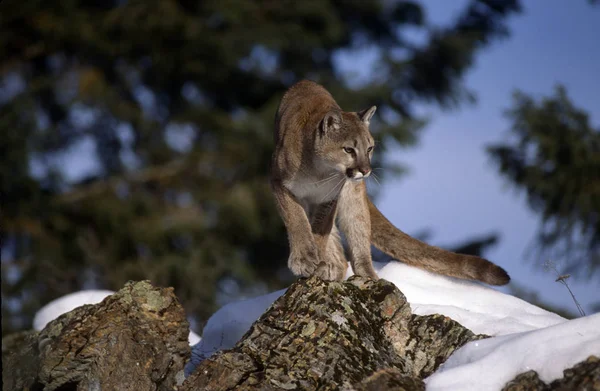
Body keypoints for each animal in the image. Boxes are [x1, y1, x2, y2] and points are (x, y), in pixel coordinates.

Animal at [272, 79, 510, 286]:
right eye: (349, 149)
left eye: (369, 148)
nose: (366, 170)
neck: (320, 171)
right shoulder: (280, 184)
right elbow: (298, 221)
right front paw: (305, 260)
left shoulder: (329, 198)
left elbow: (319, 231)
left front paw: (317, 261)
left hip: (354, 202)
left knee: (355, 244)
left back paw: (364, 277)